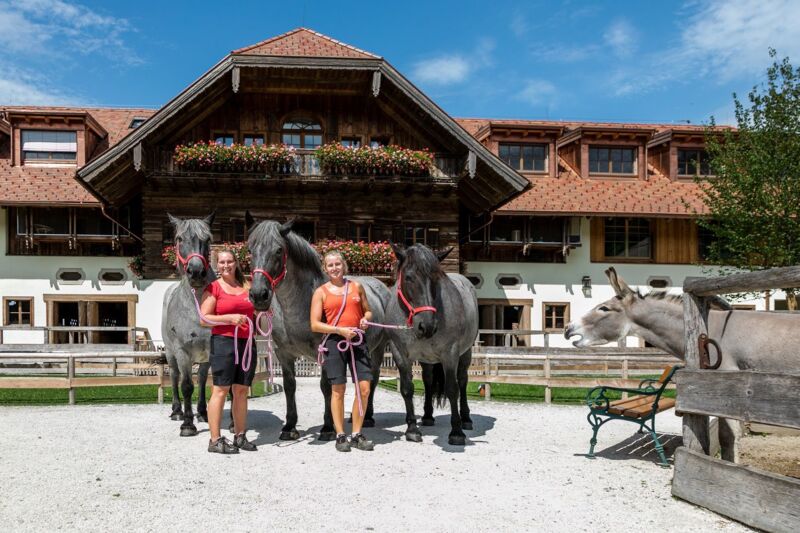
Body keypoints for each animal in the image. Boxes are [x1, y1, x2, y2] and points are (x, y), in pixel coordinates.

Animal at [246, 217, 391, 441]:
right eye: (250, 249)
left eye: (279, 250)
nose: (259, 295)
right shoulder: (283, 354)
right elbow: (290, 386)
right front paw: (289, 427)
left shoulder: (323, 352)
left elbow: (326, 387)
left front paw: (328, 427)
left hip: (377, 350)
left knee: (373, 379)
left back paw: (367, 417)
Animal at [384, 243, 479, 446]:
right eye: (408, 277)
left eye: (436, 277)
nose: (427, 325)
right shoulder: (400, 353)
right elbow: (407, 389)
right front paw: (412, 429)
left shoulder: (450, 354)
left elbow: (452, 389)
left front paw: (456, 432)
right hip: (426, 359)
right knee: (427, 381)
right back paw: (427, 416)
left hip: (465, 354)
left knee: (463, 381)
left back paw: (466, 418)